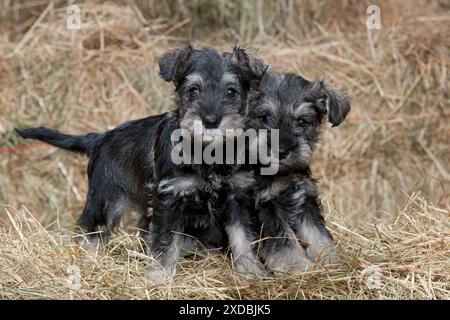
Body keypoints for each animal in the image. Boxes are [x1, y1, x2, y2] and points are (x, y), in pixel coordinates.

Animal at [15, 44, 268, 280]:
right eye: (193, 90)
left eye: (231, 91)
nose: (211, 121)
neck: (209, 153)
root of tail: (99, 138)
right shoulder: (169, 199)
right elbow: (165, 242)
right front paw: (160, 278)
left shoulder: (237, 197)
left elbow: (244, 237)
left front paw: (251, 272)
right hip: (106, 199)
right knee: (89, 229)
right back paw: (86, 257)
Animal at [246, 71, 352, 272]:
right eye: (264, 117)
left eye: (302, 121)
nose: (281, 151)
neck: (282, 174)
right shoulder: (265, 207)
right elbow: (284, 241)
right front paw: (297, 267)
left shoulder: (305, 200)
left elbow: (318, 234)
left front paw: (331, 260)